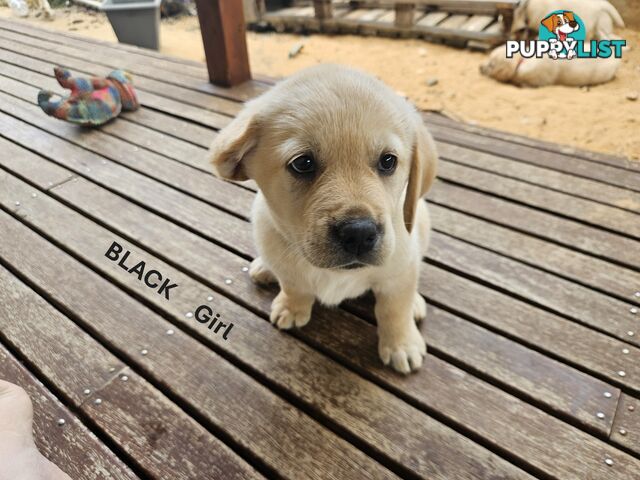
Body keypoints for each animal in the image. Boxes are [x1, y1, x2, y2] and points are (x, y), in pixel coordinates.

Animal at [208, 63, 438, 374]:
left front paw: (401, 344)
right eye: (303, 163)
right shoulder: (287, 266)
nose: (359, 233)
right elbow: (294, 286)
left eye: (388, 161)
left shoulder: (400, 271)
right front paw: (292, 307)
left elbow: (394, 308)